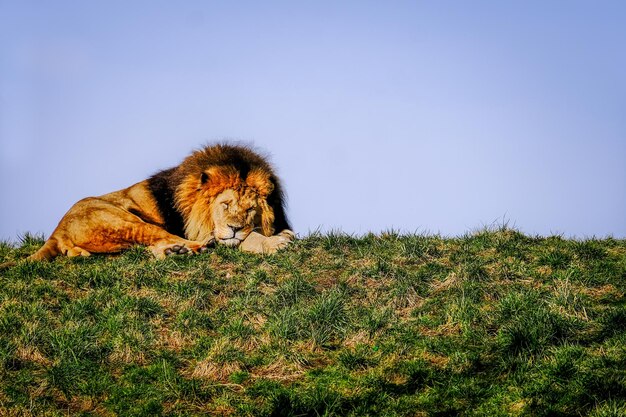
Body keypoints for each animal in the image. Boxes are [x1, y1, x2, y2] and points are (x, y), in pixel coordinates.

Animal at [26, 144, 294, 260]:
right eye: (225, 204)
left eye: (250, 209)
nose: (234, 228)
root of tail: (57, 231)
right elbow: (247, 239)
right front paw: (275, 242)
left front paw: (282, 235)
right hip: (124, 221)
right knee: (165, 238)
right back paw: (193, 247)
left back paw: (175, 251)